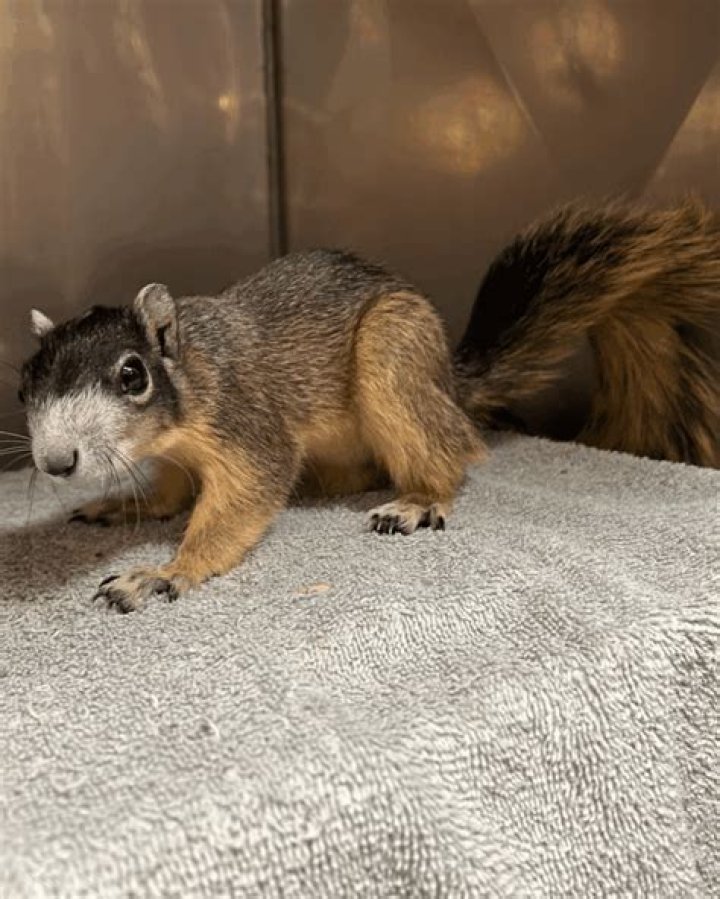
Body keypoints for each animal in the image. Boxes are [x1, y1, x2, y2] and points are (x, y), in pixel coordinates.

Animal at [19, 199, 719, 611]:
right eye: (24, 383)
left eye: (132, 375)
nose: (56, 462)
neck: (189, 381)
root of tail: (449, 386)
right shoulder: (172, 456)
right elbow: (166, 494)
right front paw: (117, 506)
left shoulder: (247, 425)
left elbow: (245, 495)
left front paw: (166, 571)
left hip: (395, 353)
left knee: (451, 454)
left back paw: (419, 500)